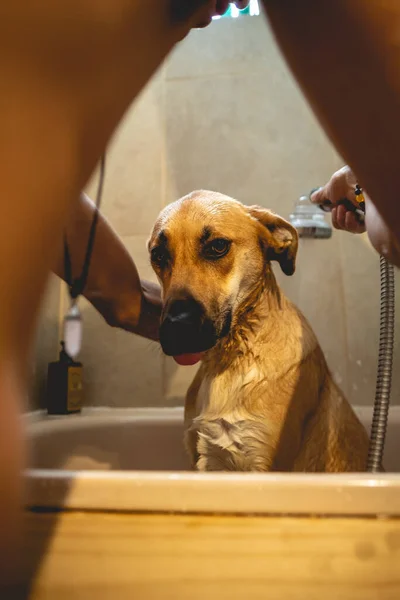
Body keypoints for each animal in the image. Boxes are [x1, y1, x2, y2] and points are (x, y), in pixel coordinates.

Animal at [149, 190, 368, 472]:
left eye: (217, 246)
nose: (176, 327)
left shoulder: (263, 463)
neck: (230, 358)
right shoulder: (202, 457)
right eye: (158, 254)